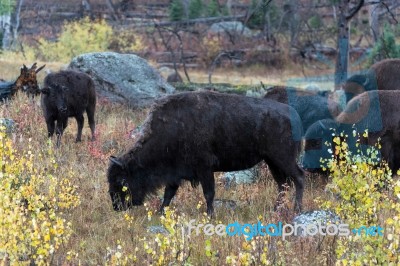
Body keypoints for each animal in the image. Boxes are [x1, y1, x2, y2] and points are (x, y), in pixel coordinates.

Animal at [108, 91, 304, 216]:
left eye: (121, 180)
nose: (116, 206)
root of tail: (294, 114)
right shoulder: (175, 174)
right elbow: (168, 194)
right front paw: (161, 212)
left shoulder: (204, 169)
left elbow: (209, 193)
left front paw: (210, 215)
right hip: (272, 162)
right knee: (283, 184)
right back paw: (276, 210)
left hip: (283, 159)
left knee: (298, 177)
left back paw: (297, 209)